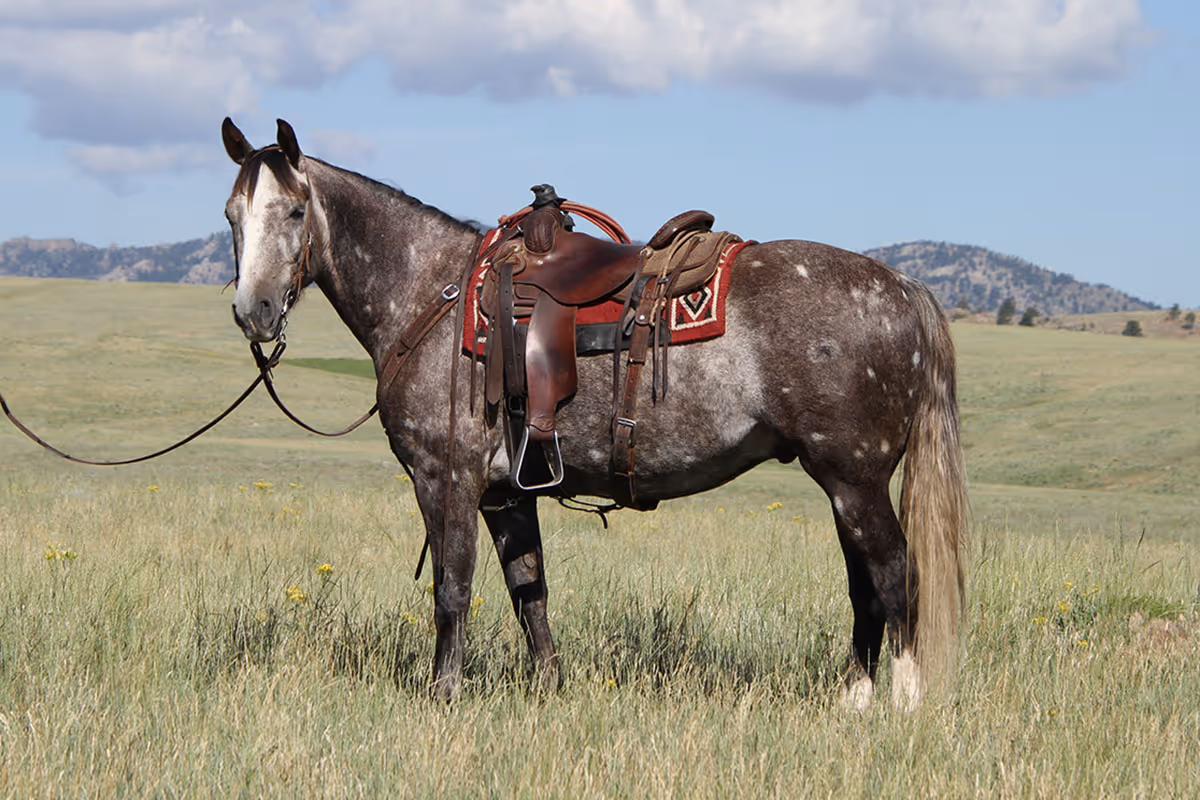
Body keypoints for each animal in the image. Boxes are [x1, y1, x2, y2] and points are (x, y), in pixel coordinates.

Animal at [220, 117, 967, 709]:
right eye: (232, 215)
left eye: (294, 213)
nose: (253, 311)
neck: (431, 293)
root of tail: (903, 286)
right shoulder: (505, 493)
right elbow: (529, 591)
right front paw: (548, 690)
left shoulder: (446, 480)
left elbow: (451, 590)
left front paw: (442, 697)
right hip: (844, 485)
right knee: (864, 585)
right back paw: (855, 701)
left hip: (854, 480)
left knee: (894, 576)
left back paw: (903, 704)